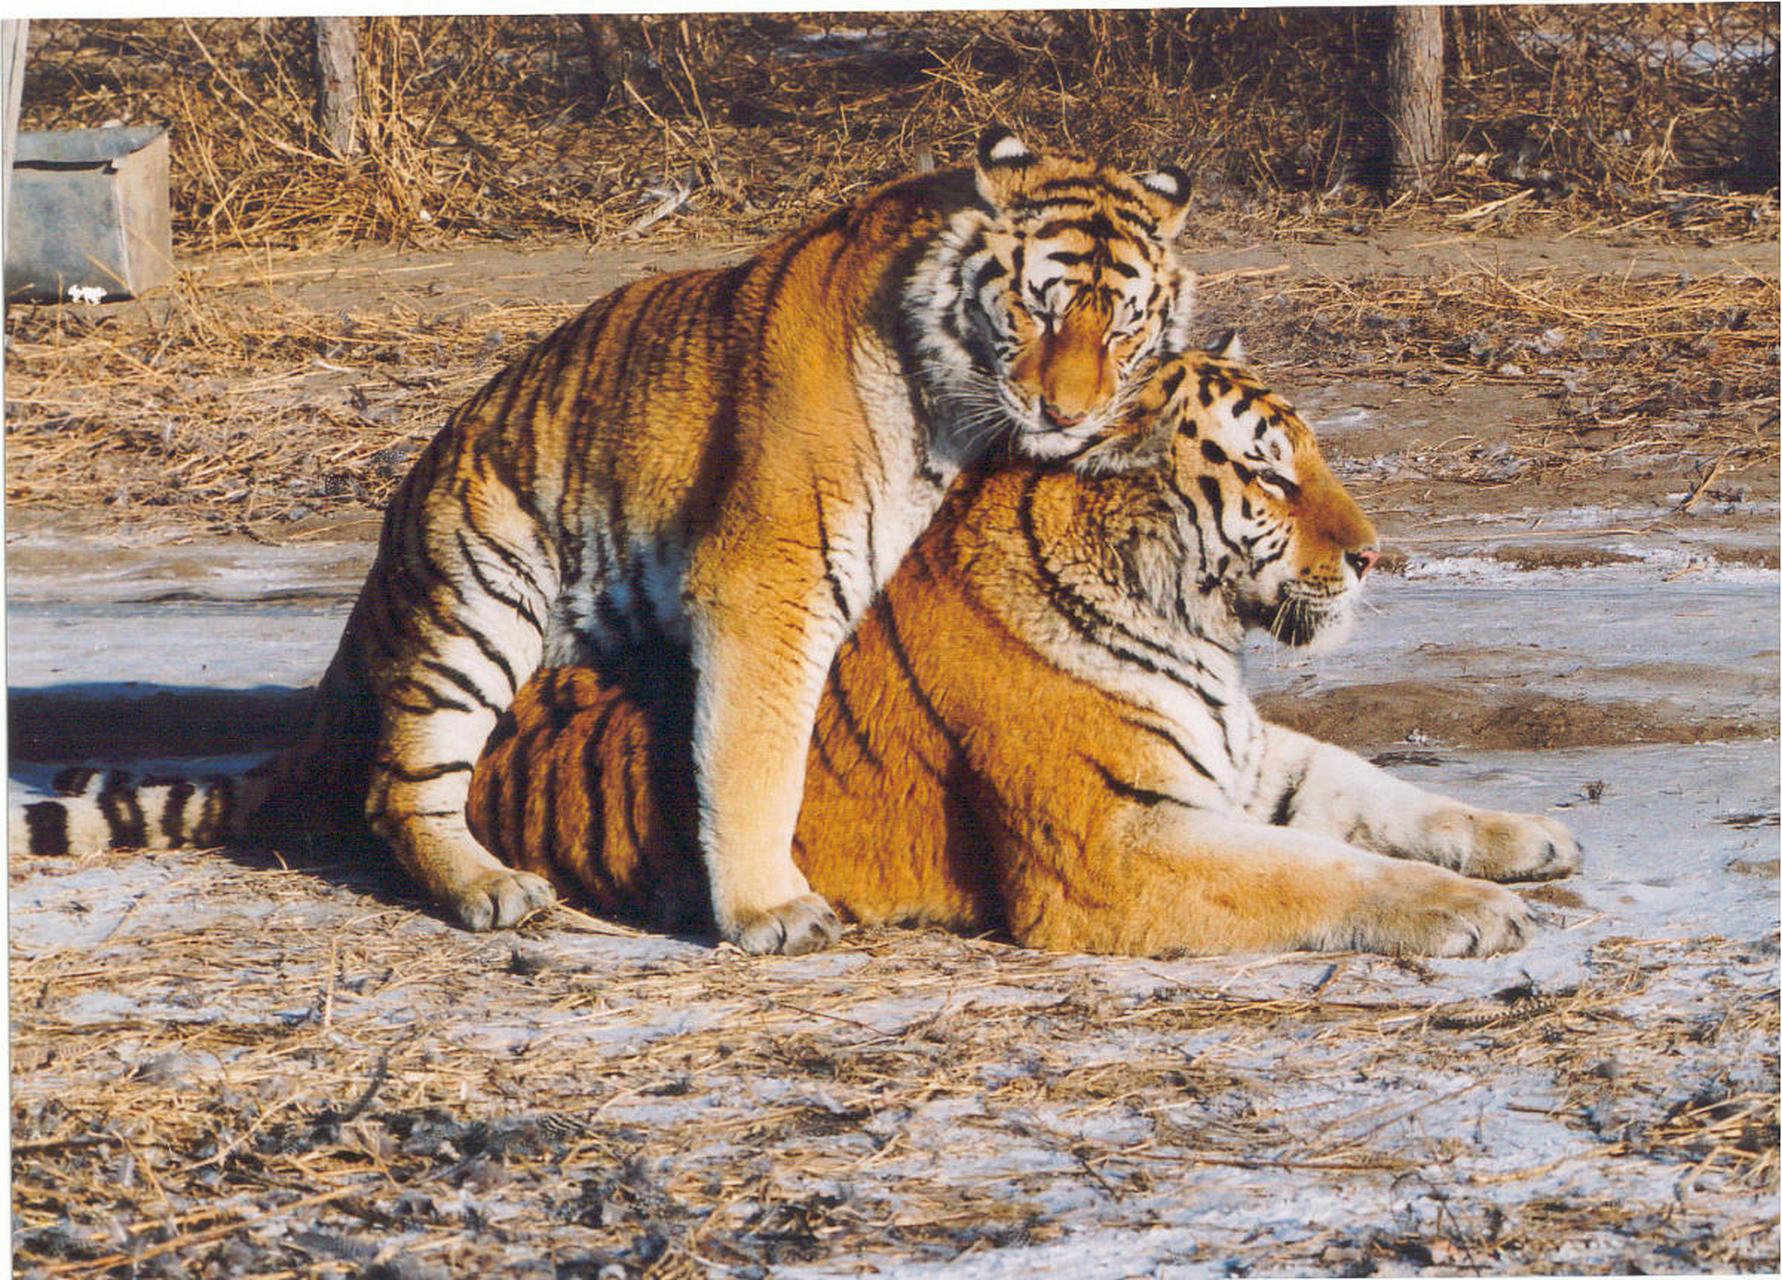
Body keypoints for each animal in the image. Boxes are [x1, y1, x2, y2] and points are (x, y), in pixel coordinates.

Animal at [13, 130, 1197, 955]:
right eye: (1037, 309)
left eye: (1125, 322)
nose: (1070, 412)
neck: (951, 400)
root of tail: (379, 577)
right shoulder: (767, 581)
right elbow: (758, 752)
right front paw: (771, 910)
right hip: (482, 594)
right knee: (400, 785)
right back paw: (491, 889)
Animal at [463, 340, 1589, 962]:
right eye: (1270, 475)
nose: (1372, 554)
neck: (1195, 629)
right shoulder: (1114, 844)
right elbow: (1325, 869)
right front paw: (1474, 910)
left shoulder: (1244, 755)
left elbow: (1386, 793)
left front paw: (1531, 839)